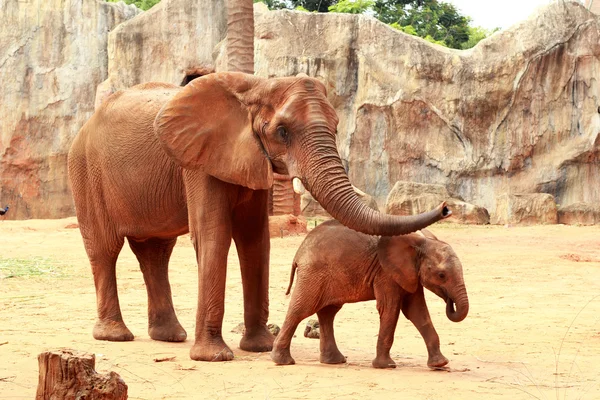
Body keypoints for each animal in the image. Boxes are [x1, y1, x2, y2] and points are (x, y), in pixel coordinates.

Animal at [67, 70, 450, 360]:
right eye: (282, 131)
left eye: (336, 129)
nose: (446, 206)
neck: (255, 86)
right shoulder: (200, 162)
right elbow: (213, 235)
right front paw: (215, 357)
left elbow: (255, 239)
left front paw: (259, 348)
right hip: (86, 169)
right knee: (105, 249)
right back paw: (115, 336)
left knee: (155, 253)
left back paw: (169, 336)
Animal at [272, 219, 468, 368]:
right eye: (441, 275)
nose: (449, 301)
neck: (422, 242)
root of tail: (299, 253)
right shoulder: (386, 273)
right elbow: (390, 309)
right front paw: (386, 366)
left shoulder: (409, 274)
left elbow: (417, 311)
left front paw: (440, 364)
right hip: (313, 274)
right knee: (301, 309)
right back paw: (282, 361)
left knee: (328, 312)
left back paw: (334, 361)